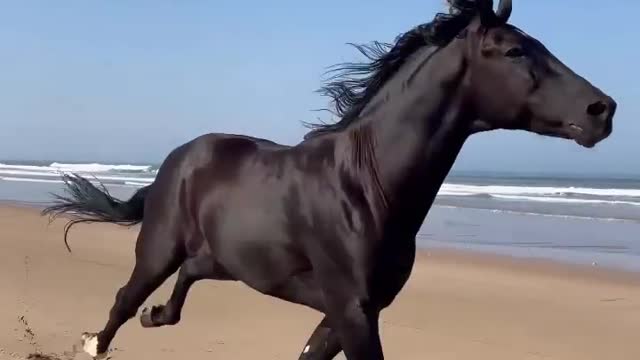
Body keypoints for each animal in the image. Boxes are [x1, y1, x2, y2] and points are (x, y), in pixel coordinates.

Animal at [42, 1, 616, 358]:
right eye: (516, 51)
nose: (603, 110)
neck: (367, 185)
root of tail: (180, 155)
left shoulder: (355, 310)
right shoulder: (352, 310)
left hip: (232, 261)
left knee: (188, 276)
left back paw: (157, 316)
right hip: (159, 246)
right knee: (125, 297)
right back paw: (95, 343)